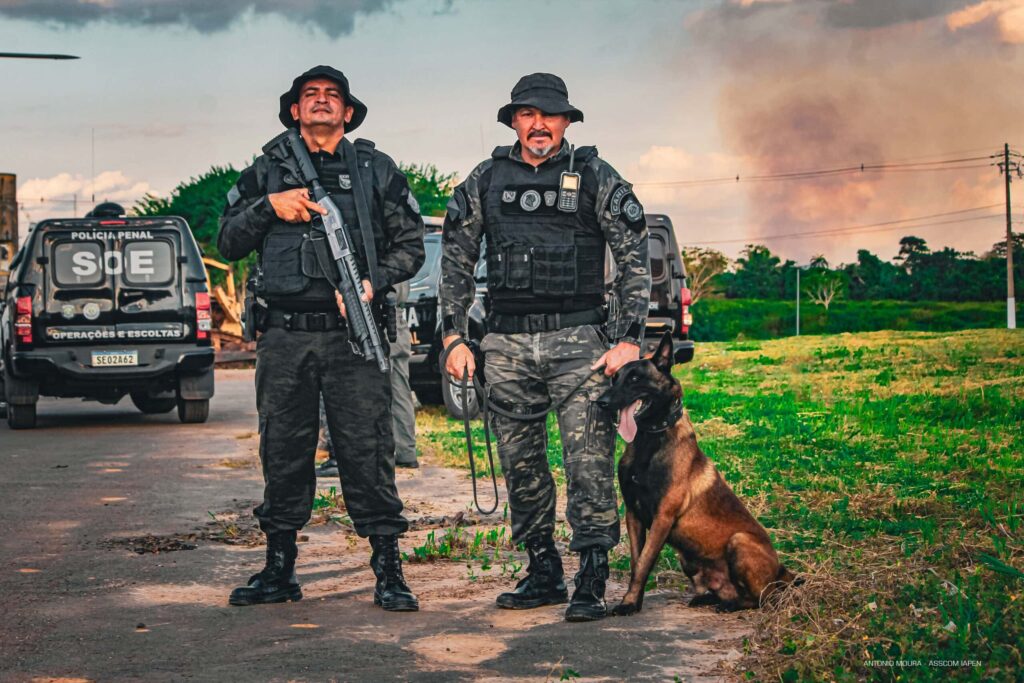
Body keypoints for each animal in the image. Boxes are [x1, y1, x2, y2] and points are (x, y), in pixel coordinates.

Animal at [598, 331, 798, 614]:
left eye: (635, 379)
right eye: (615, 378)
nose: (601, 402)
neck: (650, 439)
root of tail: (782, 569)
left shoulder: (662, 517)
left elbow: (644, 563)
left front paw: (629, 603)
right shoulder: (633, 515)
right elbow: (636, 562)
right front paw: (632, 600)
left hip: (739, 541)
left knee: (760, 598)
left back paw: (732, 605)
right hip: (688, 558)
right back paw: (709, 597)